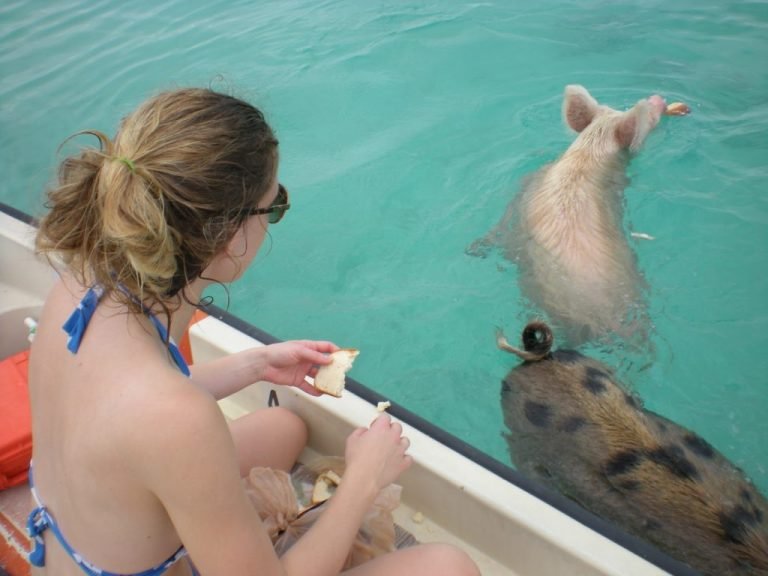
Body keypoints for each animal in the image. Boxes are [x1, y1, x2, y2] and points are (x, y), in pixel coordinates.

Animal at [468, 85, 667, 348]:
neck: (588, 153)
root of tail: (600, 317)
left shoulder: (526, 187)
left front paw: (474, 250)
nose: (659, 99)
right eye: (651, 119)